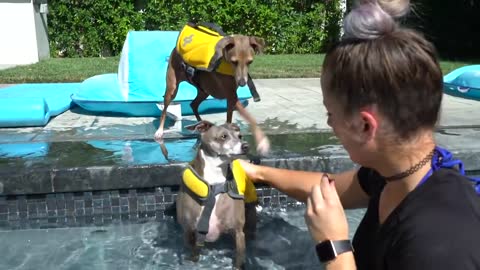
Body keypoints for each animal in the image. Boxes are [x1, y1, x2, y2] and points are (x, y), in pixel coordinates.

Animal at [155, 27, 270, 156]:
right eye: (234, 62)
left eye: (249, 62)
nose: (242, 83)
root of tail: (175, 49)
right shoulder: (232, 97)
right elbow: (250, 118)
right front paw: (262, 141)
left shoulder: (231, 99)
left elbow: (230, 119)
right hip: (172, 88)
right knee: (165, 109)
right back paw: (160, 131)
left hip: (204, 90)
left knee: (193, 104)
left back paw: (201, 127)